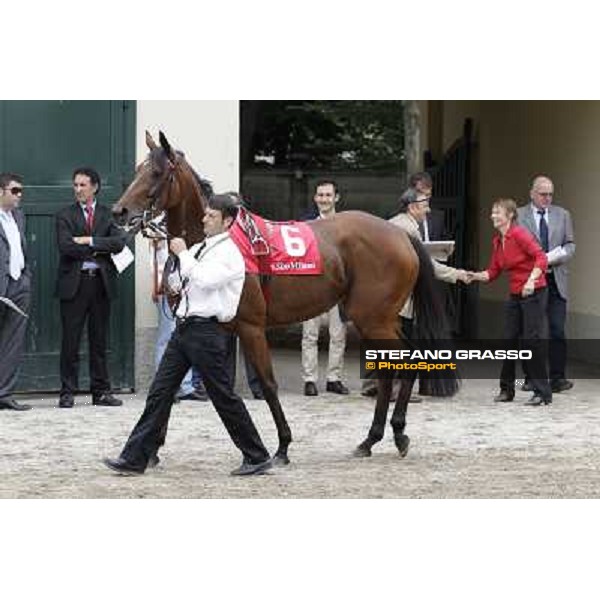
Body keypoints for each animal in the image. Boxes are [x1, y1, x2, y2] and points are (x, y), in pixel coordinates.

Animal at [112, 131, 460, 466]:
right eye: (137, 169)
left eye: (157, 173)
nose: (119, 211)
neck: (214, 243)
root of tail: (402, 235)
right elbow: (167, 384)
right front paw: (151, 450)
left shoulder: (251, 327)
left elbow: (268, 384)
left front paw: (282, 447)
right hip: (378, 319)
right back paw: (373, 439)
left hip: (374, 319)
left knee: (405, 361)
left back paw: (395, 434)